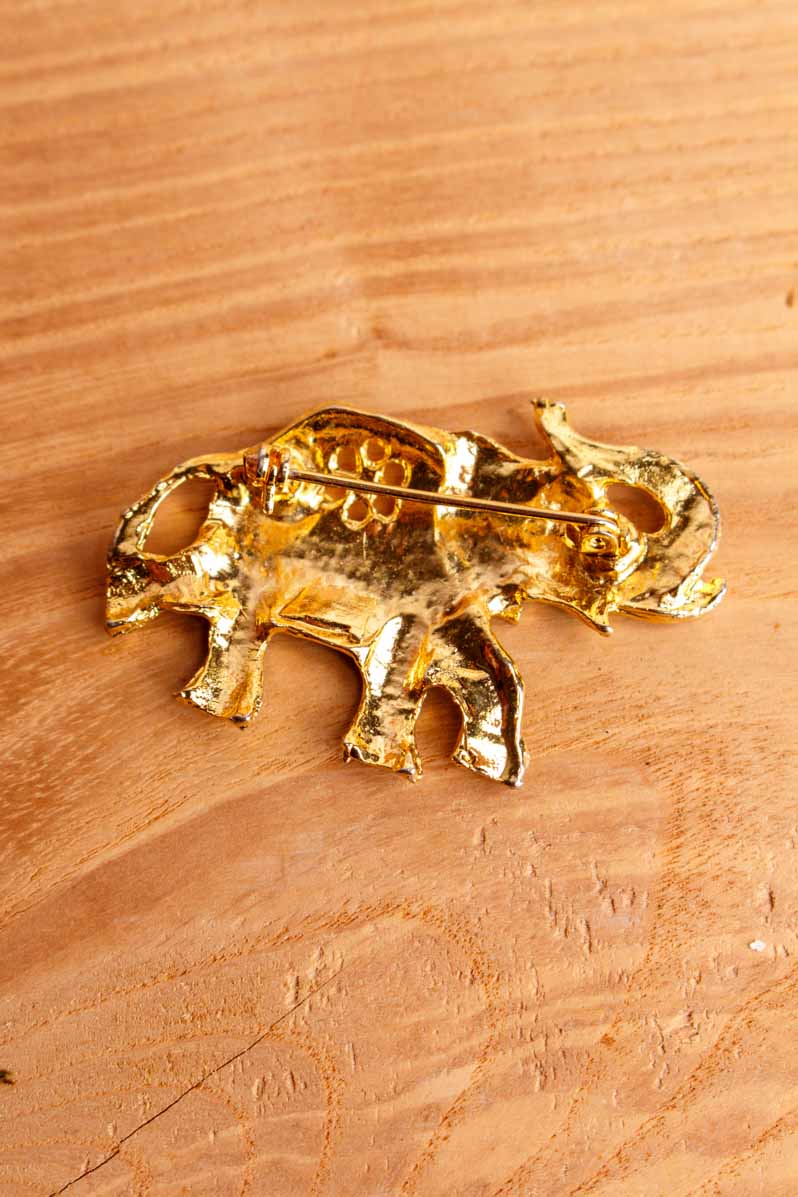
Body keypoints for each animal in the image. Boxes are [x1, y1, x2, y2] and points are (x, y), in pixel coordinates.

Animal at [106, 400, 725, 786]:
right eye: (598, 542)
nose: (550, 406)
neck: (499, 481)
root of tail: (238, 466)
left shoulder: (455, 598)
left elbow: (494, 672)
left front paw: (493, 768)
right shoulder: (418, 589)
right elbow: (398, 663)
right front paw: (386, 763)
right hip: (244, 563)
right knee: (212, 602)